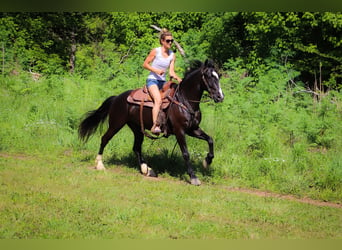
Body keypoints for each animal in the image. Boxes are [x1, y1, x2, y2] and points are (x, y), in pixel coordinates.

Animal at [80, 58, 224, 184]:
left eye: (218, 76)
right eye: (209, 76)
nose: (220, 97)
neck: (185, 100)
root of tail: (117, 98)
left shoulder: (193, 129)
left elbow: (210, 140)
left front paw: (207, 161)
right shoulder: (180, 131)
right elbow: (186, 153)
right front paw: (193, 177)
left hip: (137, 128)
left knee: (136, 148)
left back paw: (147, 170)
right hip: (116, 124)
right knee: (105, 139)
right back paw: (100, 164)